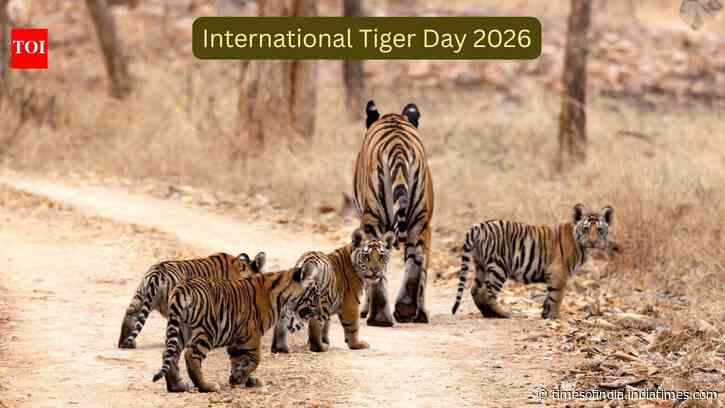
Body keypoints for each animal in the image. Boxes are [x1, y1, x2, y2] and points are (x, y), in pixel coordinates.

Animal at [152, 260, 327, 393]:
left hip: (180, 329)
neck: (282, 297)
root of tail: (181, 289)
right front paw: (239, 379)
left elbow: (239, 361)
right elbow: (255, 359)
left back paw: (177, 386)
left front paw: (243, 380)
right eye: (316, 294)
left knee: (169, 353)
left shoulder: (237, 340)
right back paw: (207, 387)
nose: (320, 311)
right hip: (208, 331)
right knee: (190, 355)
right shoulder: (251, 336)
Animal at [353, 100, 435, 326]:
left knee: (375, 261)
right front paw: (421, 315)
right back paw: (405, 309)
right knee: (417, 260)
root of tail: (398, 147)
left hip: (372, 219)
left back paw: (378, 317)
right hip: (419, 220)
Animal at [451, 204, 615, 319]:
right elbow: (557, 297)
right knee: (485, 292)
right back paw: (504, 313)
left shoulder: (553, 276)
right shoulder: (559, 274)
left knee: (475, 290)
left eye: (599, 230)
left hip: (481, 266)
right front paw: (555, 317)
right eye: (586, 229)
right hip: (500, 267)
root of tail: (479, 226)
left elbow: (549, 298)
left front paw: (545, 315)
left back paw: (488, 313)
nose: (593, 242)